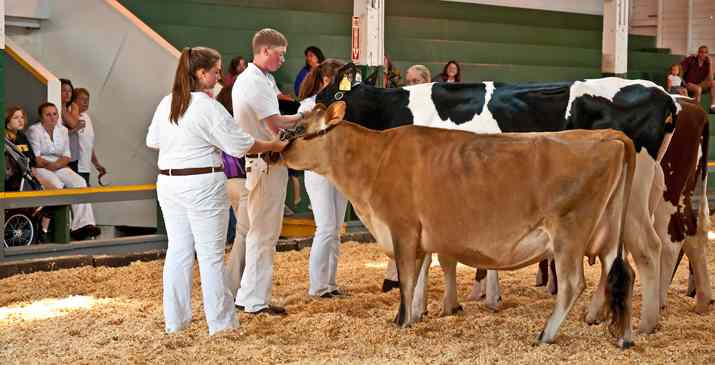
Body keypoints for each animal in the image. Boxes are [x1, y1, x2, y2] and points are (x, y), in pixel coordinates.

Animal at [282, 101, 636, 346]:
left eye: (299, 129)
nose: (279, 150)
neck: (376, 159)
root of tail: (609, 137)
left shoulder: (402, 229)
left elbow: (406, 280)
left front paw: (401, 321)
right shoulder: (420, 237)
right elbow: (418, 278)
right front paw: (415, 315)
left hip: (568, 232)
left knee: (575, 282)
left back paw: (546, 334)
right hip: (607, 230)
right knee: (619, 274)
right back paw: (620, 333)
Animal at [320, 64, 715, 332]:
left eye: (331, 96)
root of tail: (667, 97)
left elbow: (433, 254)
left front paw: (419, 308)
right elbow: (450, 252)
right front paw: (457, 302)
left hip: (645, 193)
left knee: (657, 244)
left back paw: (648, 318)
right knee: (676, 239)